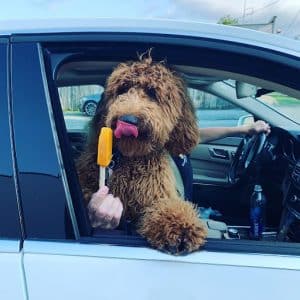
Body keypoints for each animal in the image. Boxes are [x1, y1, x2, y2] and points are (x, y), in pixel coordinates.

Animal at [77, 54, 206, 255]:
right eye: (122, 89)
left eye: (153, 93)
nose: (128, 120)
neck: (130, 158)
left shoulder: (156, 195)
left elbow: (166, 206)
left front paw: (181, 228)